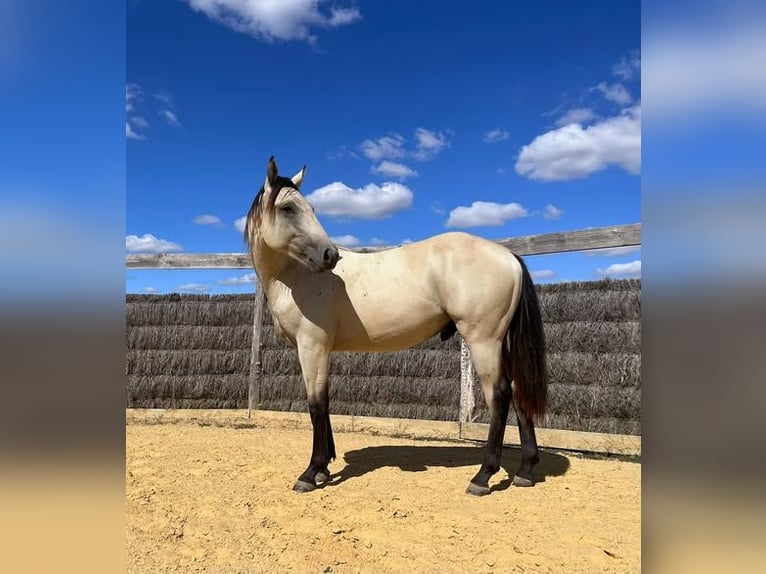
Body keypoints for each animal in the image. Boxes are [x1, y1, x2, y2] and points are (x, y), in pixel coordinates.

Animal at [244, 156, 548, 496]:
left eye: (308, 207)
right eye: (288, 208)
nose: (330, 255)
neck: (296, 276)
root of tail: (507, 255)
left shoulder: (312, 346)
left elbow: (316, 405)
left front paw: (311, 472)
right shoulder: (321, 350)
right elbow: (324, 402)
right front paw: (323, 469)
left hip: (484, 341)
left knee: (499, 394)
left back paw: (483, 476)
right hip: (500, 342)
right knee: (518, 391)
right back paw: (525, 470)